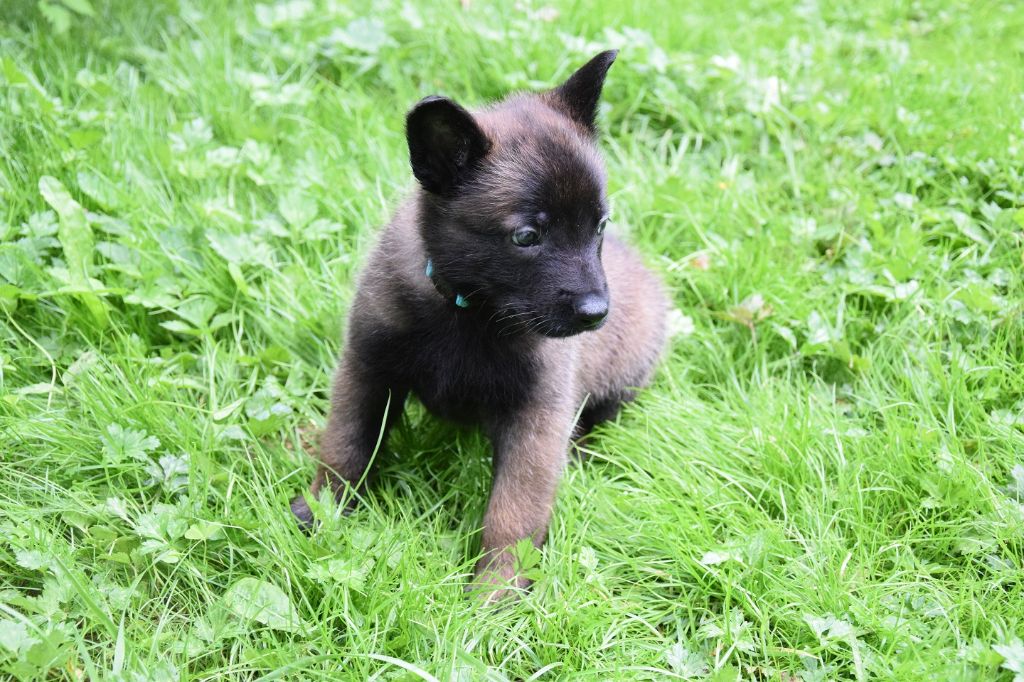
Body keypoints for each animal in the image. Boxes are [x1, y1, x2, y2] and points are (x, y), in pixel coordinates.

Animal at [292, 50, 667, 598]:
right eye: (527, 236)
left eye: (599, 226)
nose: (597, 313)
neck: (468, 311)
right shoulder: (367, 370)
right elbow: (346, 446)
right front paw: (320, 512)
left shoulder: (537, 416)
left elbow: (512, 512)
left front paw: (496, 592)